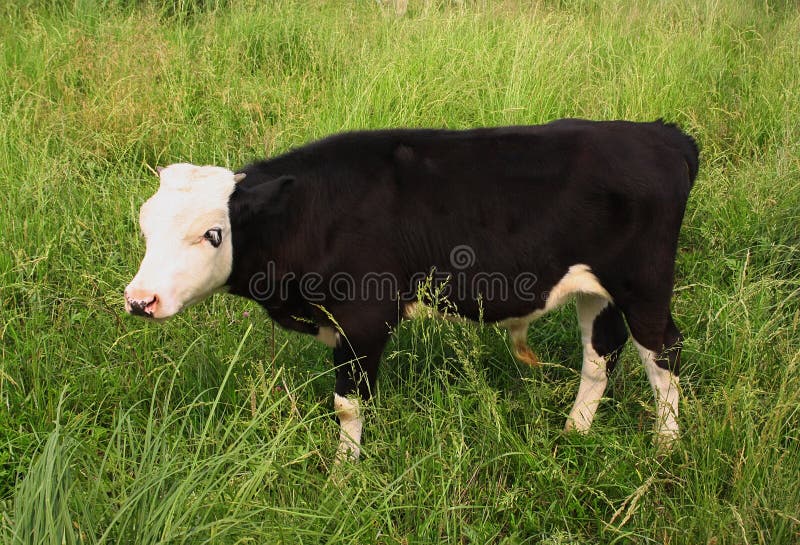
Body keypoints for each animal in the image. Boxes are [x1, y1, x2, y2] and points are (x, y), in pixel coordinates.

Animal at [124, 119, 698, 460]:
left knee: (662, 352)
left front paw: (344, 473)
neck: (309, 214)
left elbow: (347, 405)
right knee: (601, 352)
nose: (140, 300)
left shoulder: (363, 318)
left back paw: (666, 447)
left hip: (643, 284)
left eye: (212, 234)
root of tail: (661, 134)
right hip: (596, 289)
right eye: (145, 226)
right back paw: (575, 431)